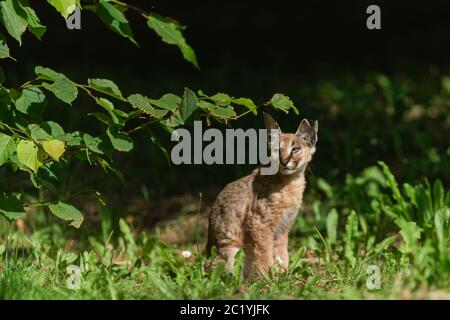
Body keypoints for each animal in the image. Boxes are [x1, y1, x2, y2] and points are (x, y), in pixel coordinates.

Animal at [206, 114, 318, 278]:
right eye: (278, 150)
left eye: (295, 149)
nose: (284, 162)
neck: (291, 181)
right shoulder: (259, 223)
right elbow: (264, 252)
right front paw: (267, 278)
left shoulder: (284, 226)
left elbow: (281, 252)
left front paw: (283, 274)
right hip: (230, 249)